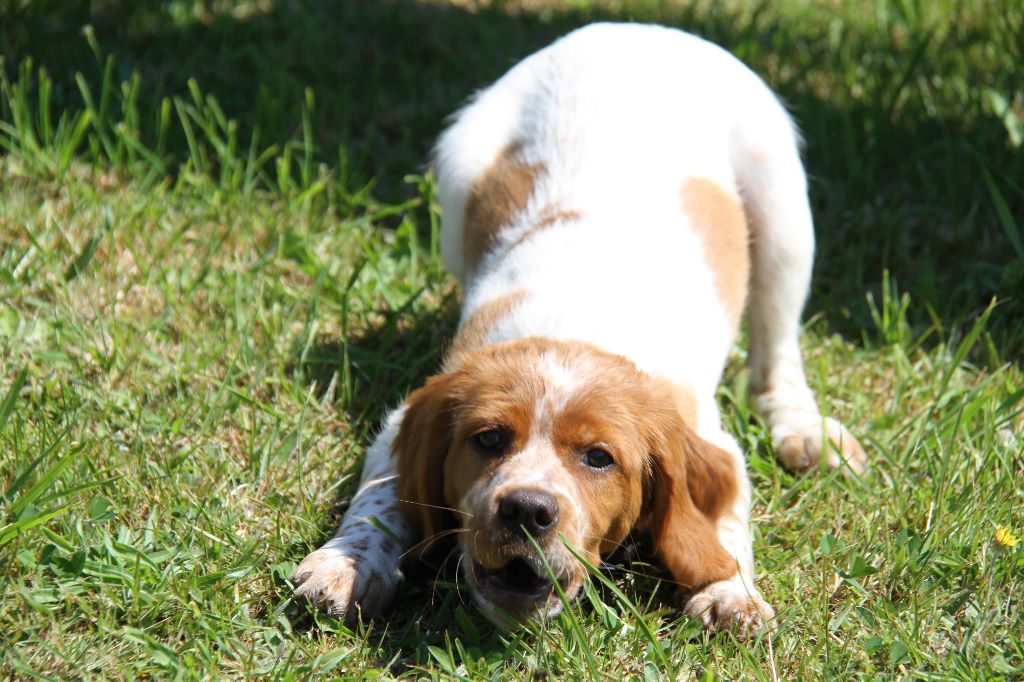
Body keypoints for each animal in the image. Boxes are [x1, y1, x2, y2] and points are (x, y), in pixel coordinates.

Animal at [292, 23, 868, 634]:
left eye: (599, 457)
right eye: (488, 439)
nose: (526, 509)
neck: (575, 330)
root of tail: (628, 27)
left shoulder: (712, 438)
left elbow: (724, 524)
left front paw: (729, 592)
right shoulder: (404, 418)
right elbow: (377, 501)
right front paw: (347, 563)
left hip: (783, 210)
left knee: (776, 351)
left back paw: (804, 429)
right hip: (456, 184)